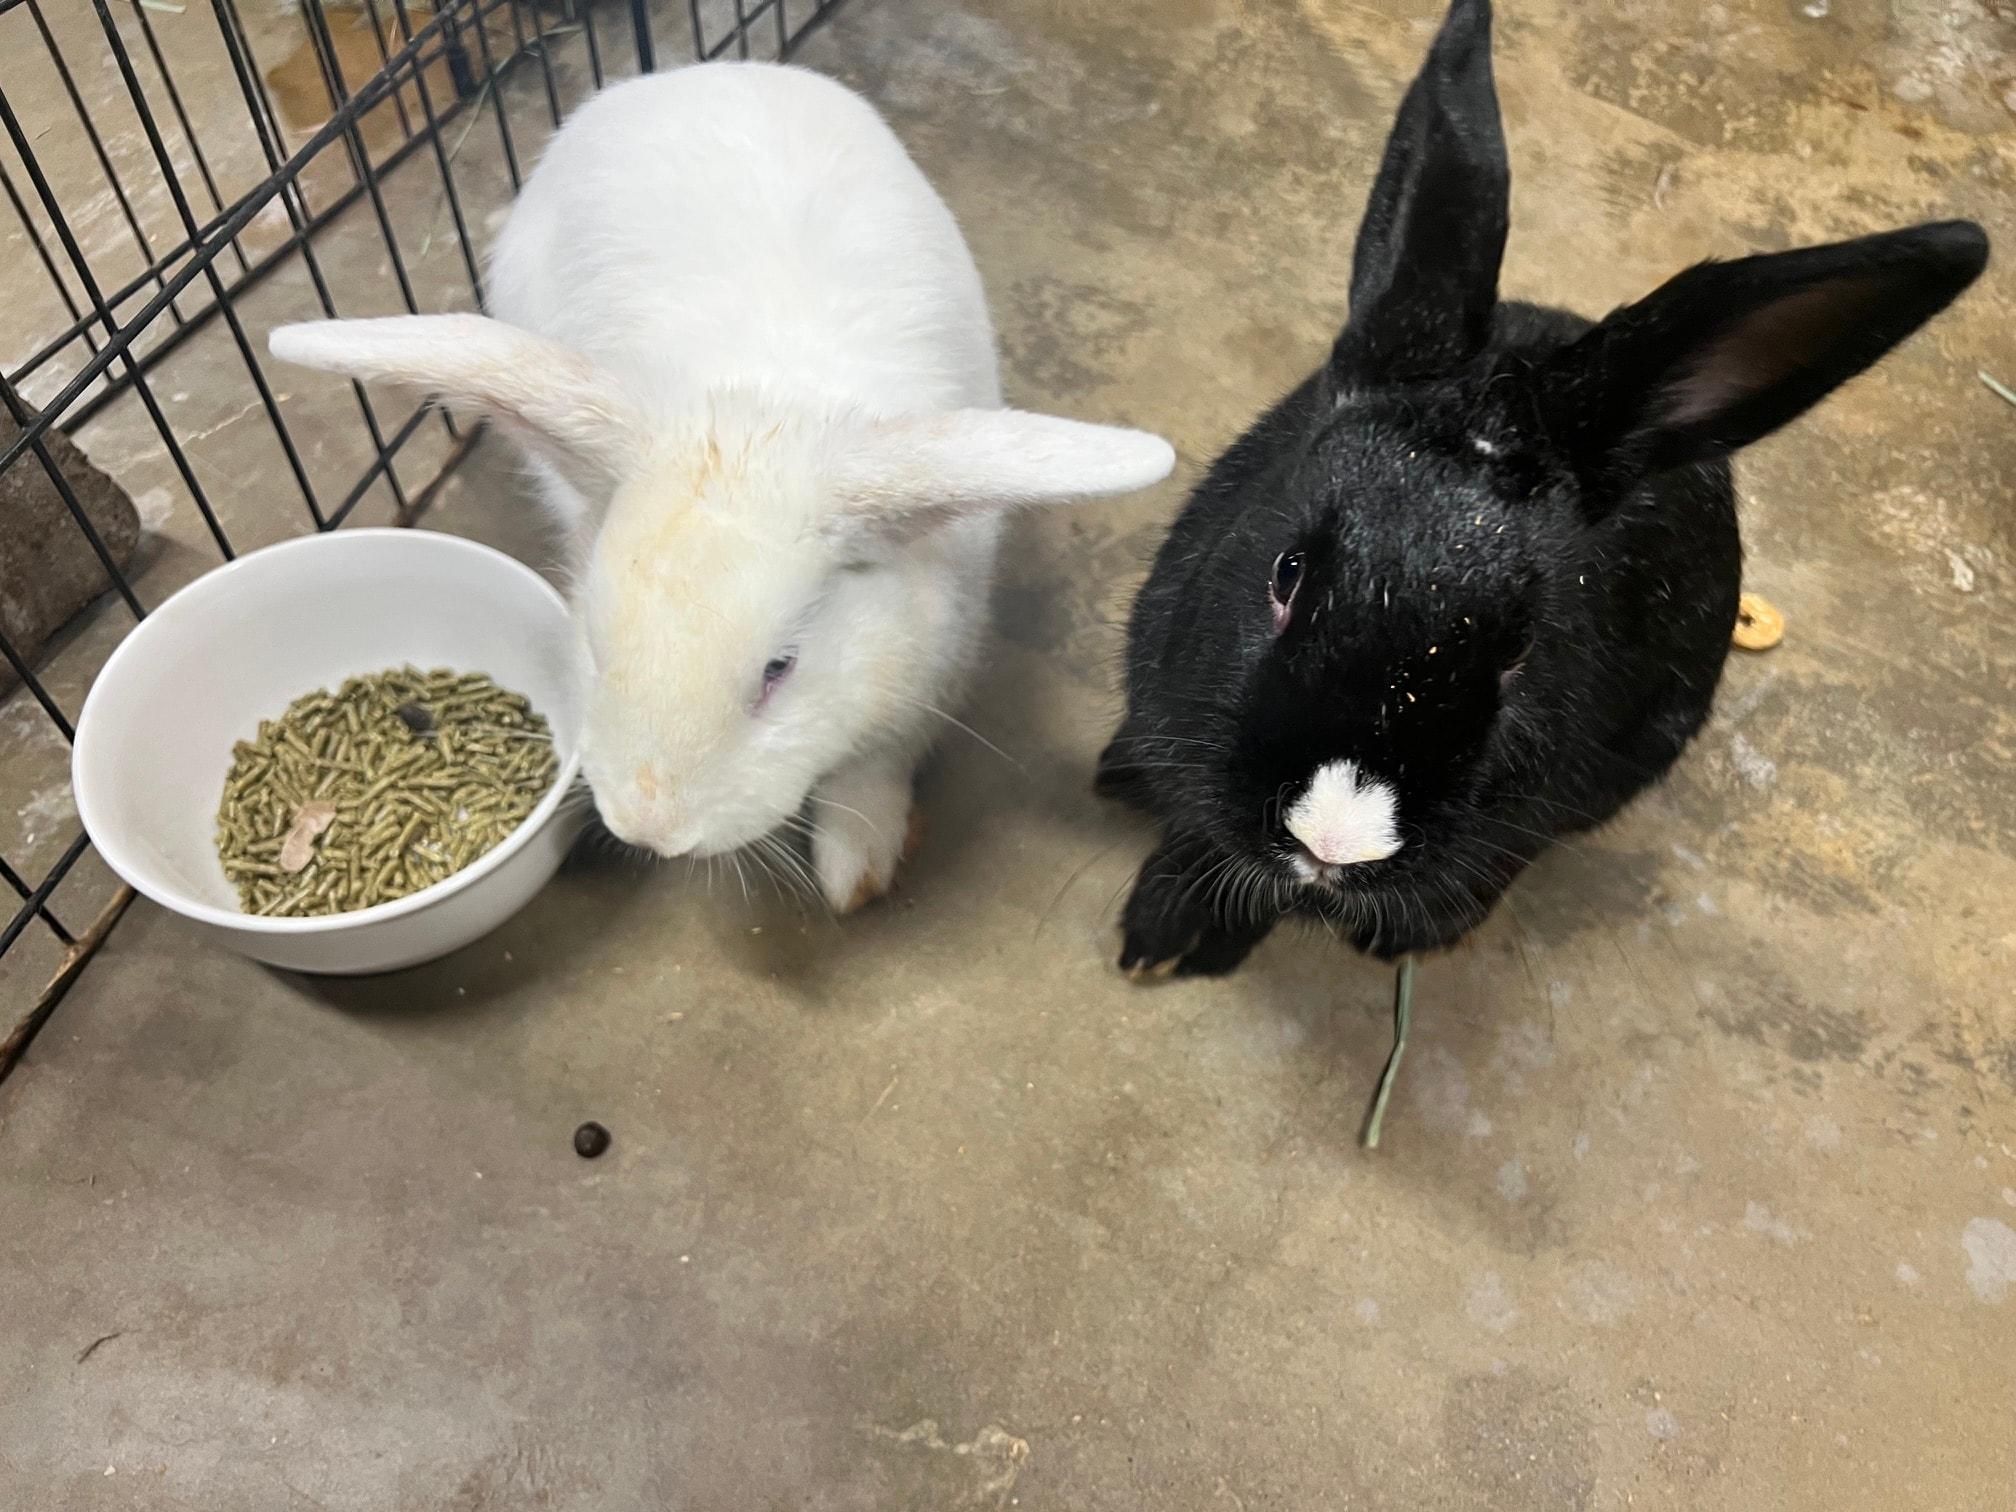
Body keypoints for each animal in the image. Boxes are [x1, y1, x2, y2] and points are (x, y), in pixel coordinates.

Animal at [270, 62, 1175, 913]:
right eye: (596, 642)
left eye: (780, 668)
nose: (650, 829)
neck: (758, 415)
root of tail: (688, 72)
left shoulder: (925, 680)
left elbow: (872, 773)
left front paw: (855, 868)